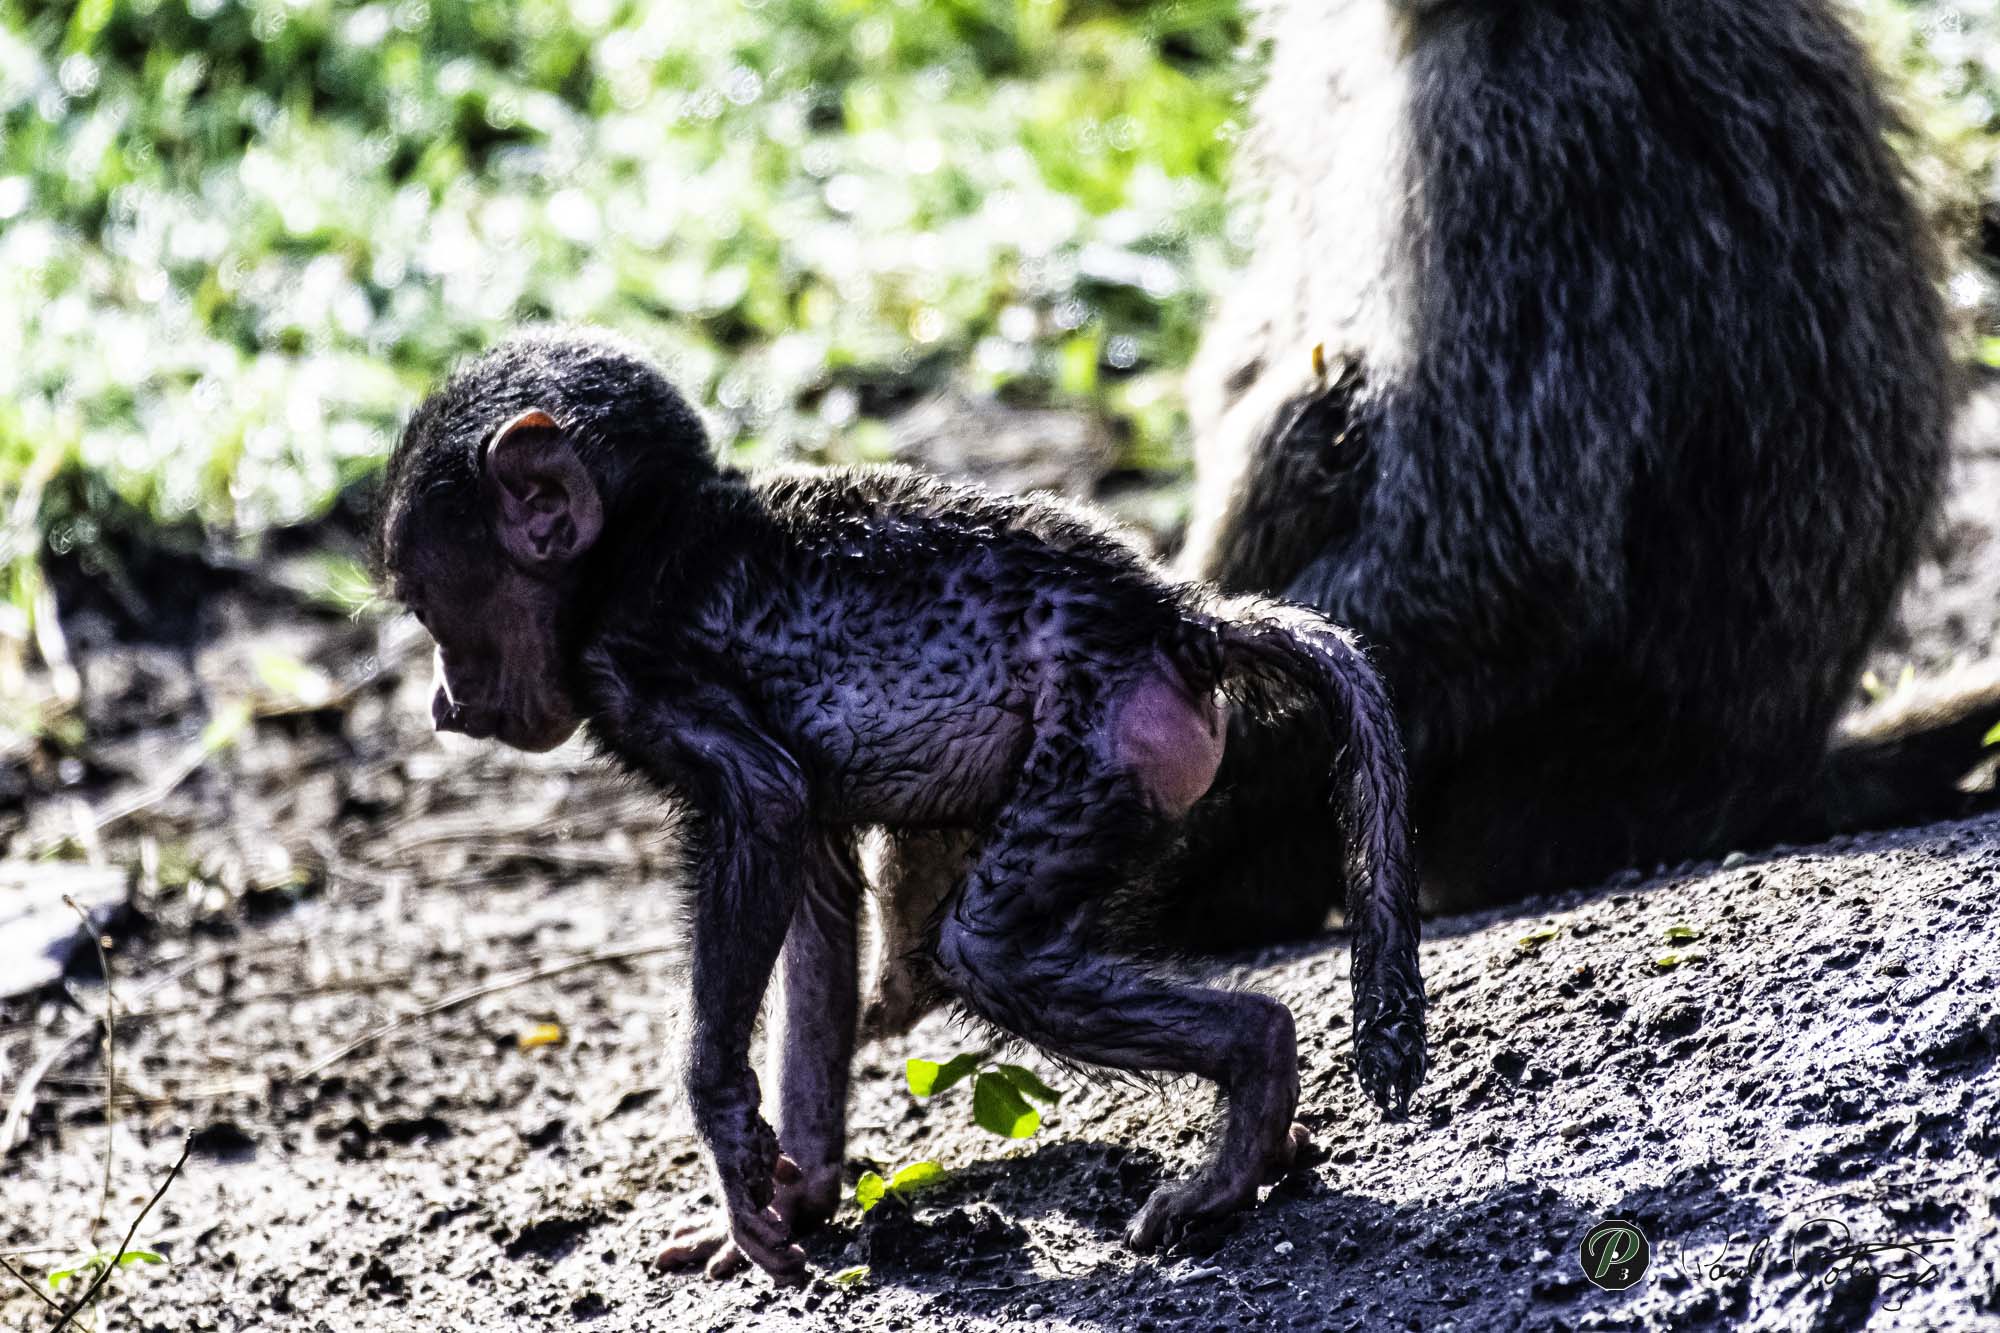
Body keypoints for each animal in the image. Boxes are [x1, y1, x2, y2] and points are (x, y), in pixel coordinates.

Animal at [372, 330, 1426, 1282]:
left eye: (429, 609)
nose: (440, 704)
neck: (634, 547)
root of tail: (1179, 618)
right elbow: (811, 899)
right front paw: (790, 1194)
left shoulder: (636, 666)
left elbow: (764, 804)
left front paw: (725, 1125)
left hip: (1105, 735)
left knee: (984, 952)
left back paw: (1250, 1083)